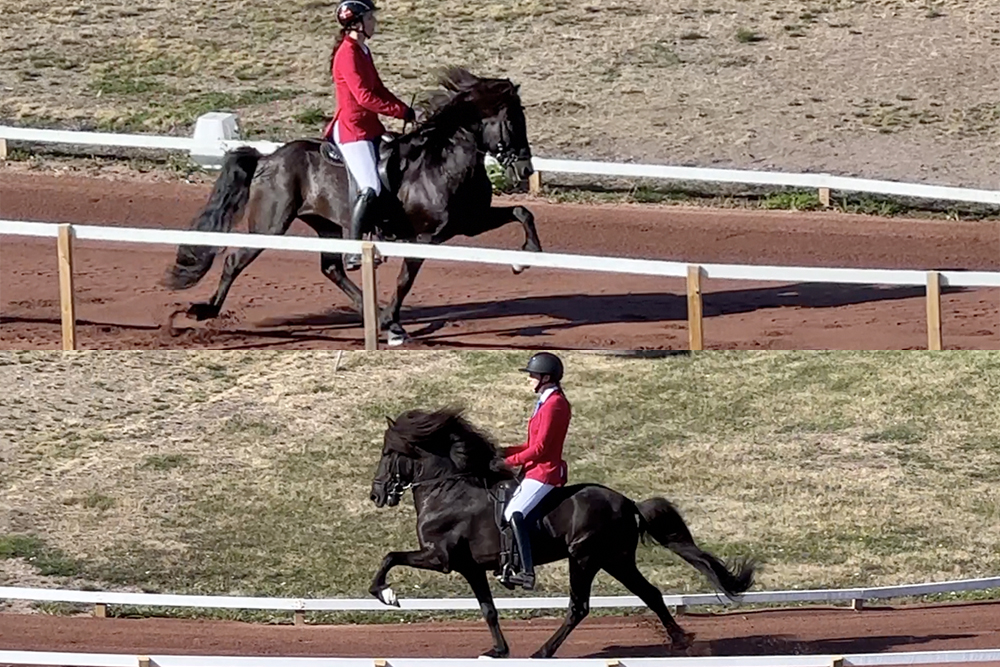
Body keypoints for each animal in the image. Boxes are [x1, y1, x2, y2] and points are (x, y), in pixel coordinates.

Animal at [164, 68, 544, 348]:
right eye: (513, 122)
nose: (526, 170)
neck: (442, 161)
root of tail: (268, 158)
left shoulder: (468, 222)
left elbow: (522, 212)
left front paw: (526, 257)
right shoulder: (424, 238)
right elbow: (406, 281)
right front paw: (394, 323)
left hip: (327, 225)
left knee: (332, 268)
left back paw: (372, 313)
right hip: (270, 224)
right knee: (234, 260)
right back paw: (206, 310)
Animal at [370, 408, 756, 656]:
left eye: (388, 453)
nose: (376, 495)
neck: (448, 491)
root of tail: (628, 502)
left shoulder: (440, 558)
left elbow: (389, 557)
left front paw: (387, 594)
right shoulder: (470, 567)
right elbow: (488, 609)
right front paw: (497, 650)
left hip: (584, 558)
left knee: (579, 607)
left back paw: (543, 652)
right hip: (615, 560)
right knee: (650, 593)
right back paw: (680, 641)